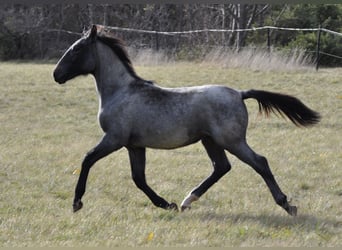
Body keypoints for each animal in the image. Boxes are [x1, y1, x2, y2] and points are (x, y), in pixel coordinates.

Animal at [53, 25, 320, 217]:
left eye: (76, 50)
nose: (56, 74)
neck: (121, 92)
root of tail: (239, 93)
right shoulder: (134, 145)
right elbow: (139, 178)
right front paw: (166, 204)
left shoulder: (114, 139)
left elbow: (88, 159)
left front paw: (77, 203)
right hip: (210, 141)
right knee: (221, 167)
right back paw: (186, 201)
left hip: (231, 140)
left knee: (259, 162)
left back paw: (287, 205)